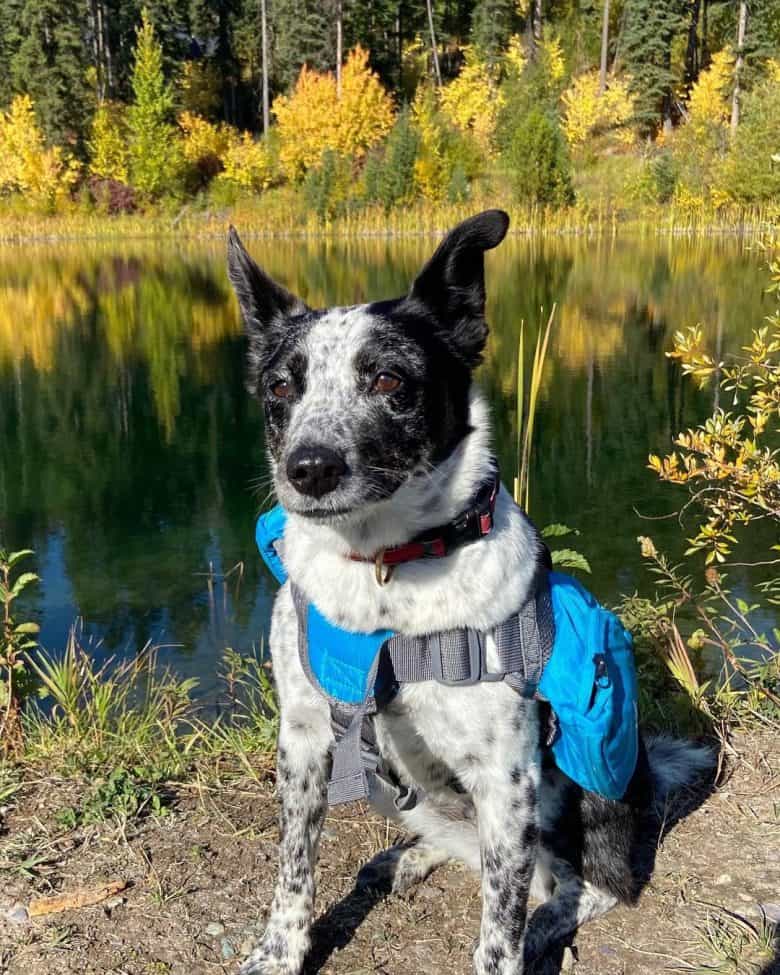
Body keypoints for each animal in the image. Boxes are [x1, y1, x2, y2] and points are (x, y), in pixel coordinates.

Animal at [227, 214, 712, 975]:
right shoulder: (302, 738)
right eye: (280, 388)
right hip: (406, 795)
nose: (307, 468)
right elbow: (293, 868)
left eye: (390, 378)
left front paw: (515, 939)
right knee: (467, 851)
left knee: (586, 886)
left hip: (574, 806)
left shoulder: (506, 778)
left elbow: (499, 925)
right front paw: (279, 953)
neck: (384, 571)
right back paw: (408, 857)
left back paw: (549, 919)